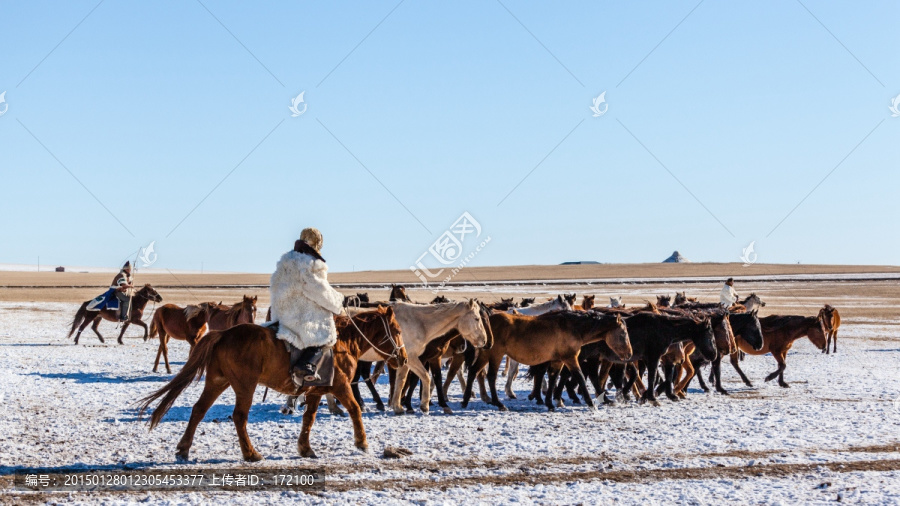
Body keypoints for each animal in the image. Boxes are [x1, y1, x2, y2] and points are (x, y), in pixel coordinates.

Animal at [138, 304, 408, 462]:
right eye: (396, 330)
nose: (403, 358)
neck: (343, 342)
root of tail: (224, 334)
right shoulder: (340, 386)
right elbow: (355, 409)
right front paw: (362, 443)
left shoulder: (316, 391)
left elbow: (309, 418)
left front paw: (305, 449)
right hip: (244, 386)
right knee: (239, 417)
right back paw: (251, 453)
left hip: (217, 381)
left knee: (198, 410)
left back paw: (183, 450)